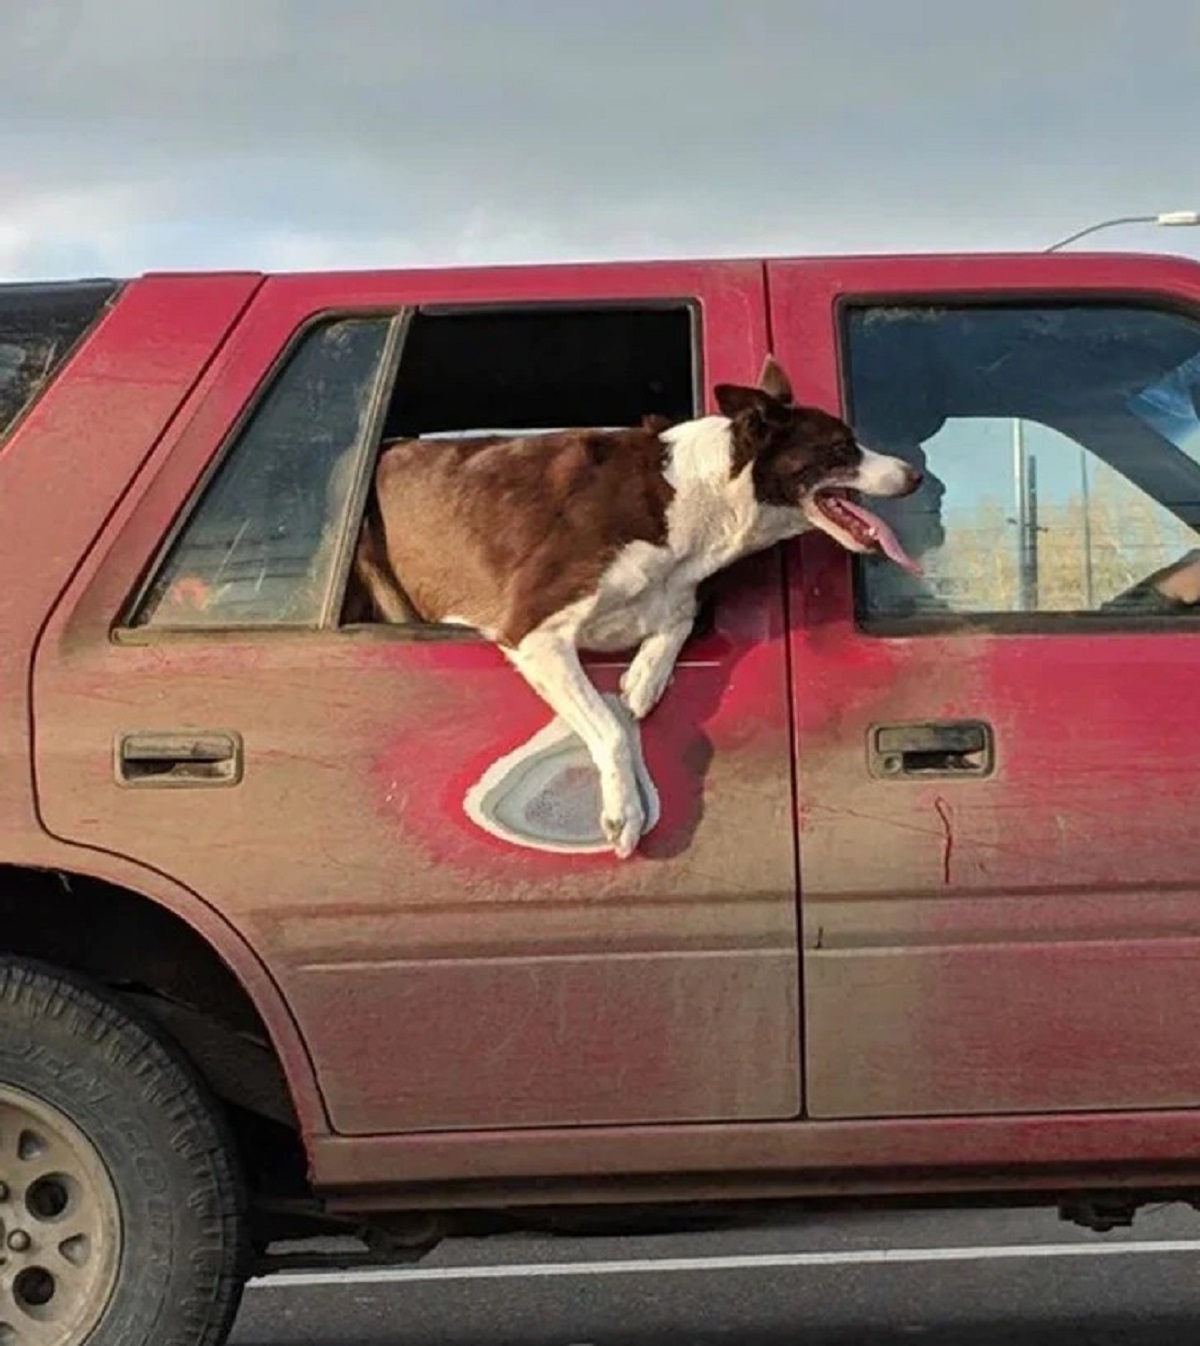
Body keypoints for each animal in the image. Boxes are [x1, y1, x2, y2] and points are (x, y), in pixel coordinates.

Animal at [352, 358, 925, 856]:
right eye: (841, 447)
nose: (916, 475)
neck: (700, 497)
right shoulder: (534, 632)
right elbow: (609, 725)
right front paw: (623, 812)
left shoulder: (674, 594)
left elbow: (676, 620)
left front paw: (646, 678)